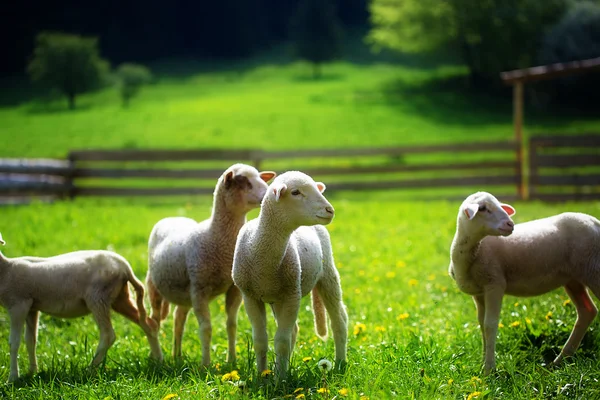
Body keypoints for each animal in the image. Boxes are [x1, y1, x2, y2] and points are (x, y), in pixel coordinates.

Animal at [0, 233, 162, 382]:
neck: (6, 269)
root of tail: (125, 267)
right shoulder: (32, 307)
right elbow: (31, 340)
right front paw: (32, 372)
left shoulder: (18, 304)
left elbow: (14, 342)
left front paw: (12, 378)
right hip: (120, 298)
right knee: (148, 324)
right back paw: (158, 360)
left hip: (98, 297)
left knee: (108, 335)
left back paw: (90, 370)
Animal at [145, 163, 276, 366]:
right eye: (244, 182)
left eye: (261, 178)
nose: (268, 193)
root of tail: (172, 218)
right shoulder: (199, 289)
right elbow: (206, 328)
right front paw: (205, 364)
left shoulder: (234, 289)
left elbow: (231, 325)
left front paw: (232, 360)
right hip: (156, 288)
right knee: (154, 321)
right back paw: (156, 357)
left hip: (185, 293)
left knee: (178, 319)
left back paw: (177, 356)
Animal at [232, 170, 350, 376]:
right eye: (295, 192)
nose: (330, 210)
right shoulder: (250, 297)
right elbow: (260, 340)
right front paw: (263, 376)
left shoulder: (291, 295)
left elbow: (281, 342)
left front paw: (280, 379)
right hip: (276, 298)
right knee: (293, 330)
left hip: (328, 274)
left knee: (339, 321)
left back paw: (340, 363)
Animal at [448, 191, 600, 376]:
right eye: (483, 208)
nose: (510, 224)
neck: (474, 249)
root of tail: (595, 222)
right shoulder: (479, 293)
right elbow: (482, 325)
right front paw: (483, 364)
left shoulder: (495, 284)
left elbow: (490, 325)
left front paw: (489, 369)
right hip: (574, 279)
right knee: (587, 311)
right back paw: (560, 361)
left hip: (594, 270)